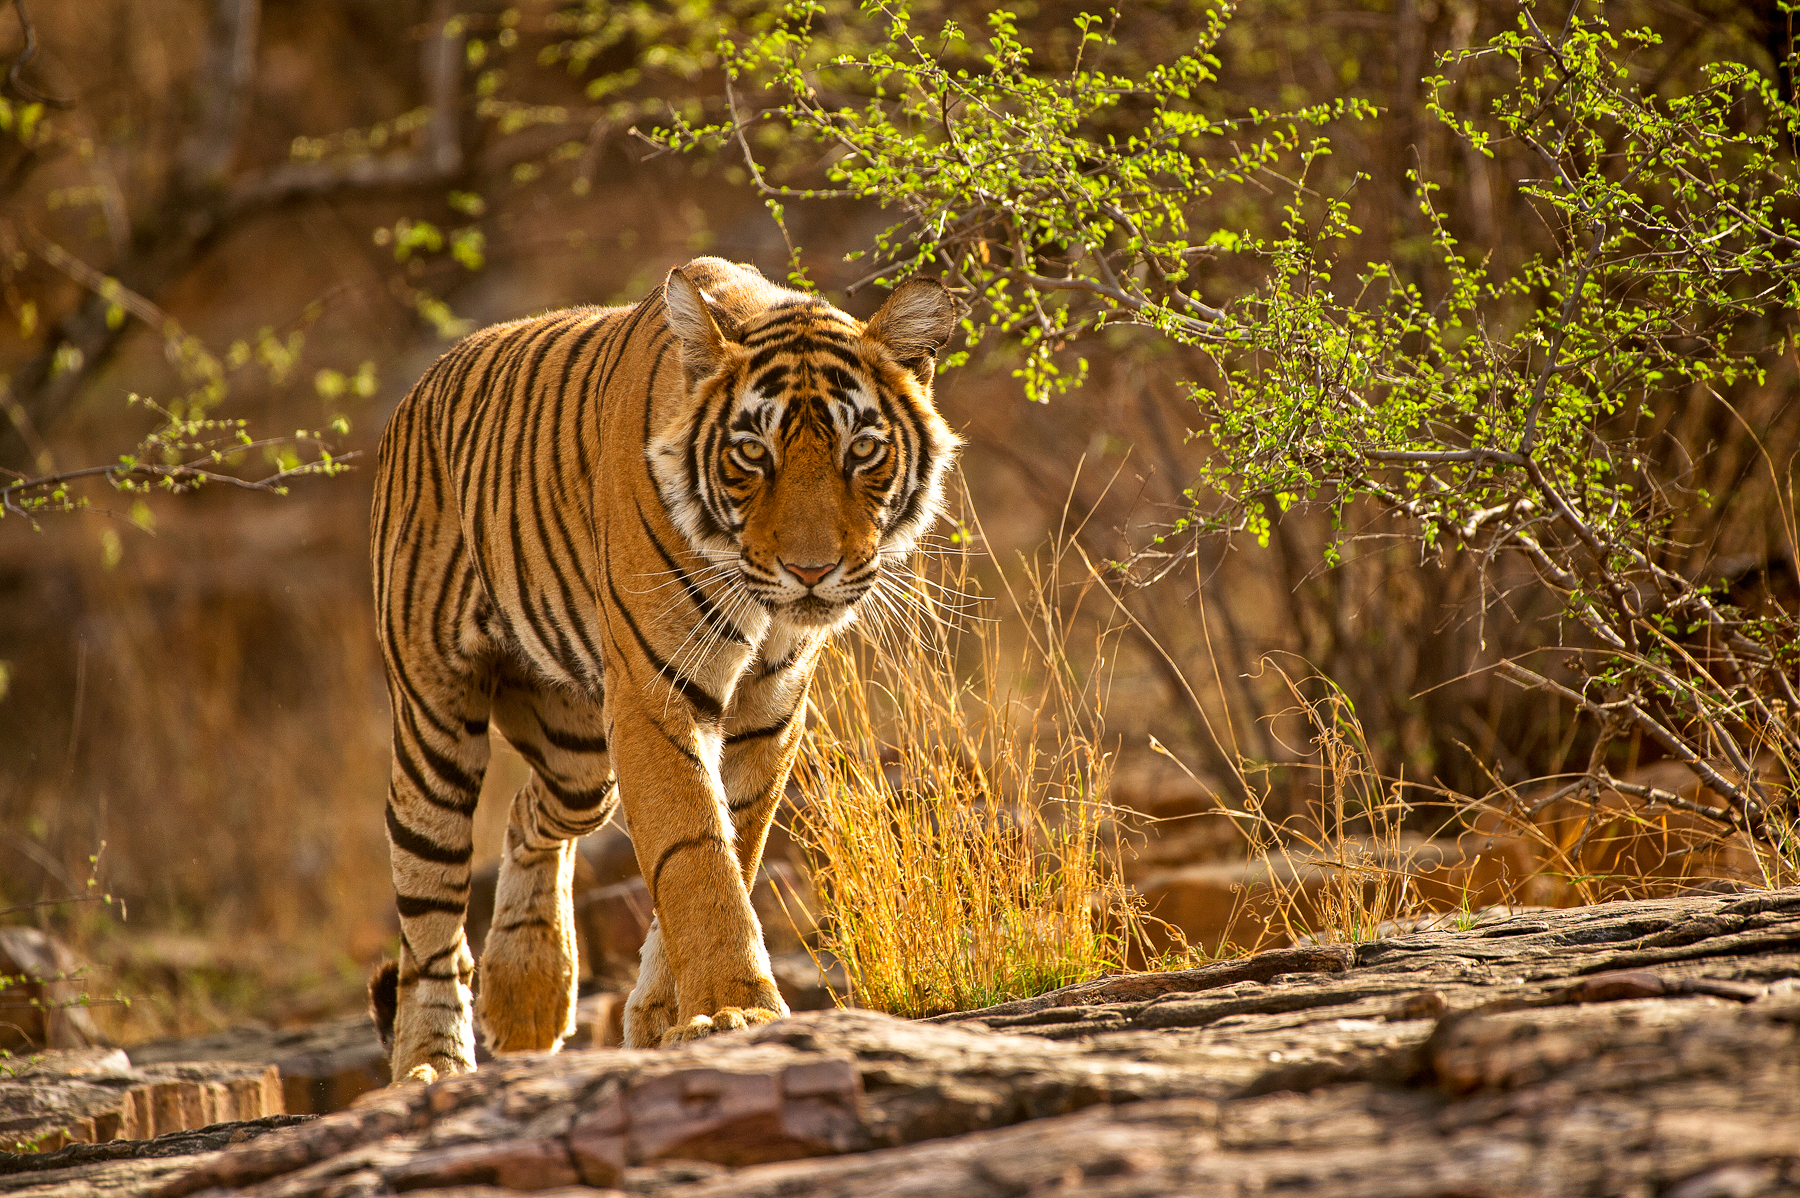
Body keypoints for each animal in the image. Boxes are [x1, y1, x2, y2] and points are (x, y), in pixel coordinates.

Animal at [367, 257, 960, 1082]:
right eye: (753, 455)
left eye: (862, 452)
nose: (812, 572)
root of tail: (418, 389)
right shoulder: (655, 695)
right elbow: (695, 854)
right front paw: (735, 1010)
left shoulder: (770, 710)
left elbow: (732, 849)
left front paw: (665, 1015)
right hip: (435, 725)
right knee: (429, 917)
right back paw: (431, 1064)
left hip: (580, 758)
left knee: (528, 815)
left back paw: (527, 991)